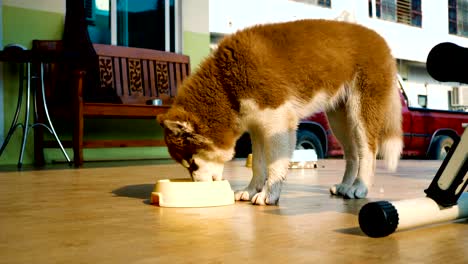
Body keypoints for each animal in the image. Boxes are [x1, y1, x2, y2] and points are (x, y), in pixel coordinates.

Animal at [157, 19, 402, 205]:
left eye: (192, 163)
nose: (198, 189)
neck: (225, 84)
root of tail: (381, 40)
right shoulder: (257, 127)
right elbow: (258, 165)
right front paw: (251, 190)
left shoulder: (279, 122)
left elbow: (274, 165)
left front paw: (269, 194)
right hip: (338, 120)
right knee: (352, 154)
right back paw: (345, 185)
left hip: (361, 114)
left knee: (367, 151)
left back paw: (359, 187)